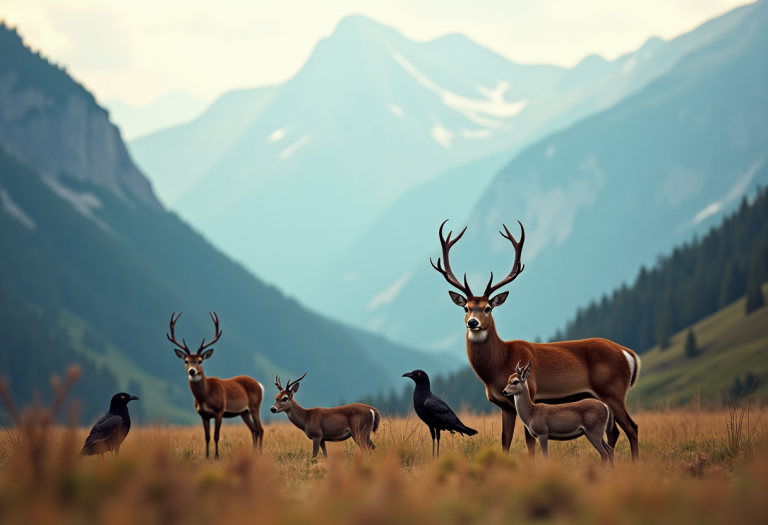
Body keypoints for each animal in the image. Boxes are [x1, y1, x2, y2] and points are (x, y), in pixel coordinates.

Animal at [167, 314, 264, 456]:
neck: (205, 396)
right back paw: (254, 452)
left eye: (200, 361)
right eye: (186, 361)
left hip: (254, 406)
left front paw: (217, 456)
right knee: (254, 430)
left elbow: (216, 436)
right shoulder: (203, 415)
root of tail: (259, 384)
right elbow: (207, 436)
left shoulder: (219, 410)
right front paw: (207, 456)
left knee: (260, 429)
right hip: (244, 412)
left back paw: (260, 453)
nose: (192, 371)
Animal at [432, 220, 640, 458]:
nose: (472, 323)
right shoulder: (504, 405)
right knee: (614, 430)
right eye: (466, 308)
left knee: (632, 427)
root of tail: (629, 354)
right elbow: (505, 440)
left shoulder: (529, 391)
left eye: (487, 308)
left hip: (613, 390)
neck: (498, 365)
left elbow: (529, 440)